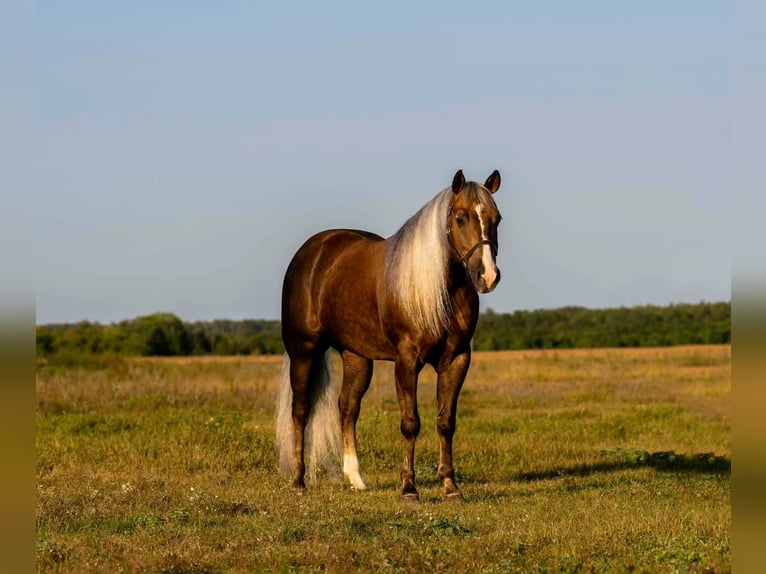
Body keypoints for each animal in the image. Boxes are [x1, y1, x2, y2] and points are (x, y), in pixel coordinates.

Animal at [276, 169, 502, 501]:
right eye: (461, 218)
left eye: (496, 218)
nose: (487, 276)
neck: (435, 288)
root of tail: (311, 252)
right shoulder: (407, 360)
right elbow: (410, 423)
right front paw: (409, 488)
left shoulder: (457, 358)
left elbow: (446, 422)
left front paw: (450, 486)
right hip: (303, 350)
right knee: (301, 409)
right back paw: (297, 481)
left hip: (356, 357)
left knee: (347, 407)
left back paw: (356, 479)